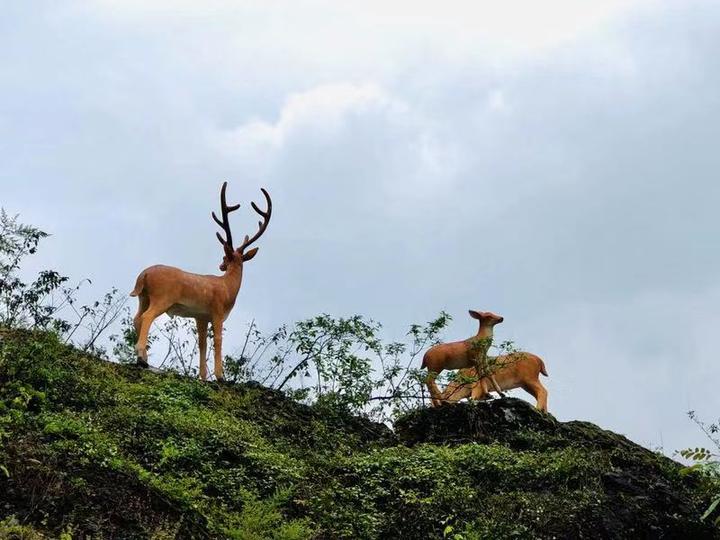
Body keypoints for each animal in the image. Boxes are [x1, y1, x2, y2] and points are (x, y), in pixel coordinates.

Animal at [128, 181, 272, 380]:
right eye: (225, 256)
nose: (221, 265)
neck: (228, 288)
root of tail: (144, 275)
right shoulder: (217, 310)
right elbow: (218, 340)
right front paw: (220, 376)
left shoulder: (201, 316)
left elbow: (202, 343)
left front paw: (203, 377)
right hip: (162, 297)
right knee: (147, 316)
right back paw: (142, 358)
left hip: (144, 297)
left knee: (136, 317)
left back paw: (142, 358)